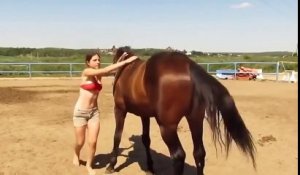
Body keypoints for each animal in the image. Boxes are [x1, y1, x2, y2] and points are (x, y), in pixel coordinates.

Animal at [105, 46, 255, 175]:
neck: (126, 69)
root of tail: (188, 66)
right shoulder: (144, 115)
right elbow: (146, 139)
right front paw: (150, 167)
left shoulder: (119, 110)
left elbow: (117, 136)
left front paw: (111, 165)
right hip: (195, 120)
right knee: (199, 153)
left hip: (167, 127)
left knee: (178, 156)